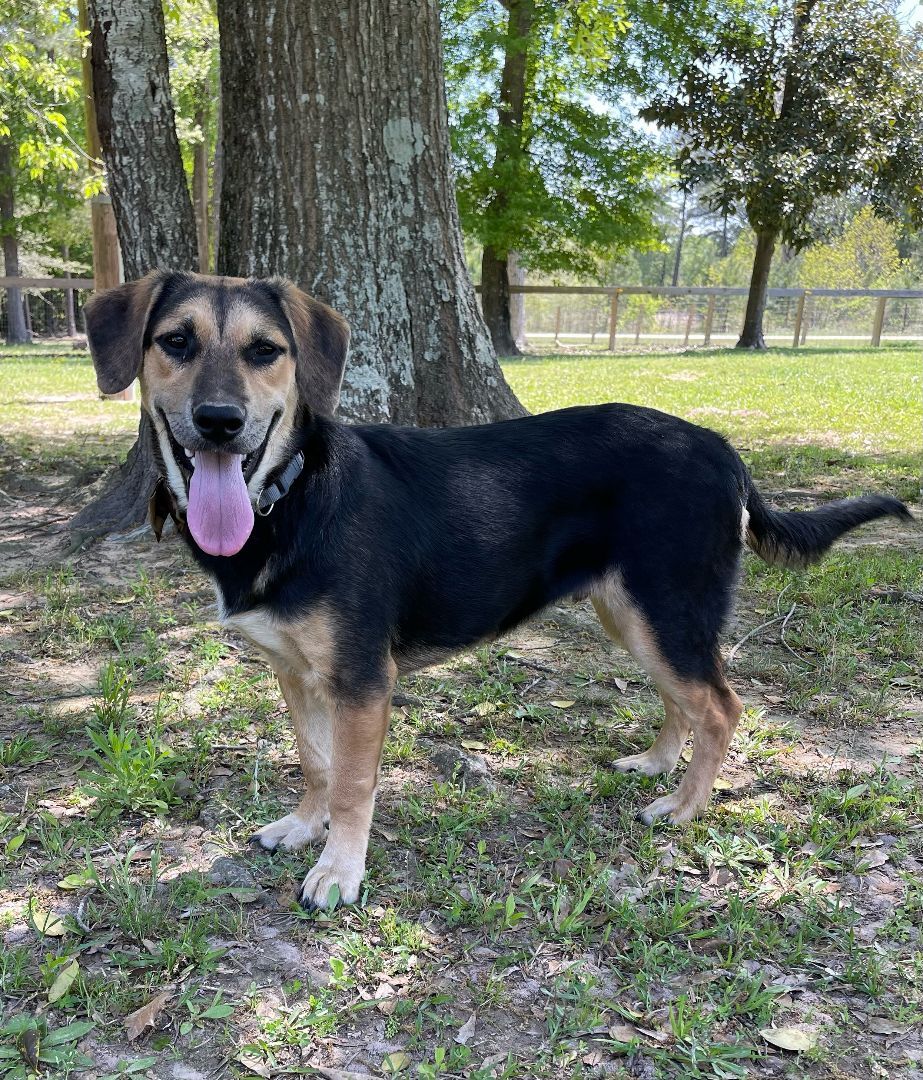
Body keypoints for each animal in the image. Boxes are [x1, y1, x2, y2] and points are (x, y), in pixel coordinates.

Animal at [84, 272, 911, 911]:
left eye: (265, 351)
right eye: (176, 342)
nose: (219, 422)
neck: (290, 499)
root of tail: (722, 448)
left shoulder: (360, 681)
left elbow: (352, 784)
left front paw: (339, 869)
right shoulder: (295, 672)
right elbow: (315, 763)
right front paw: (303, 826)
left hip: (666, 610)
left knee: (722, 706)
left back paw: (682, 805)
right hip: (631, 615)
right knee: (685, 700)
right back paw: (656, 764)